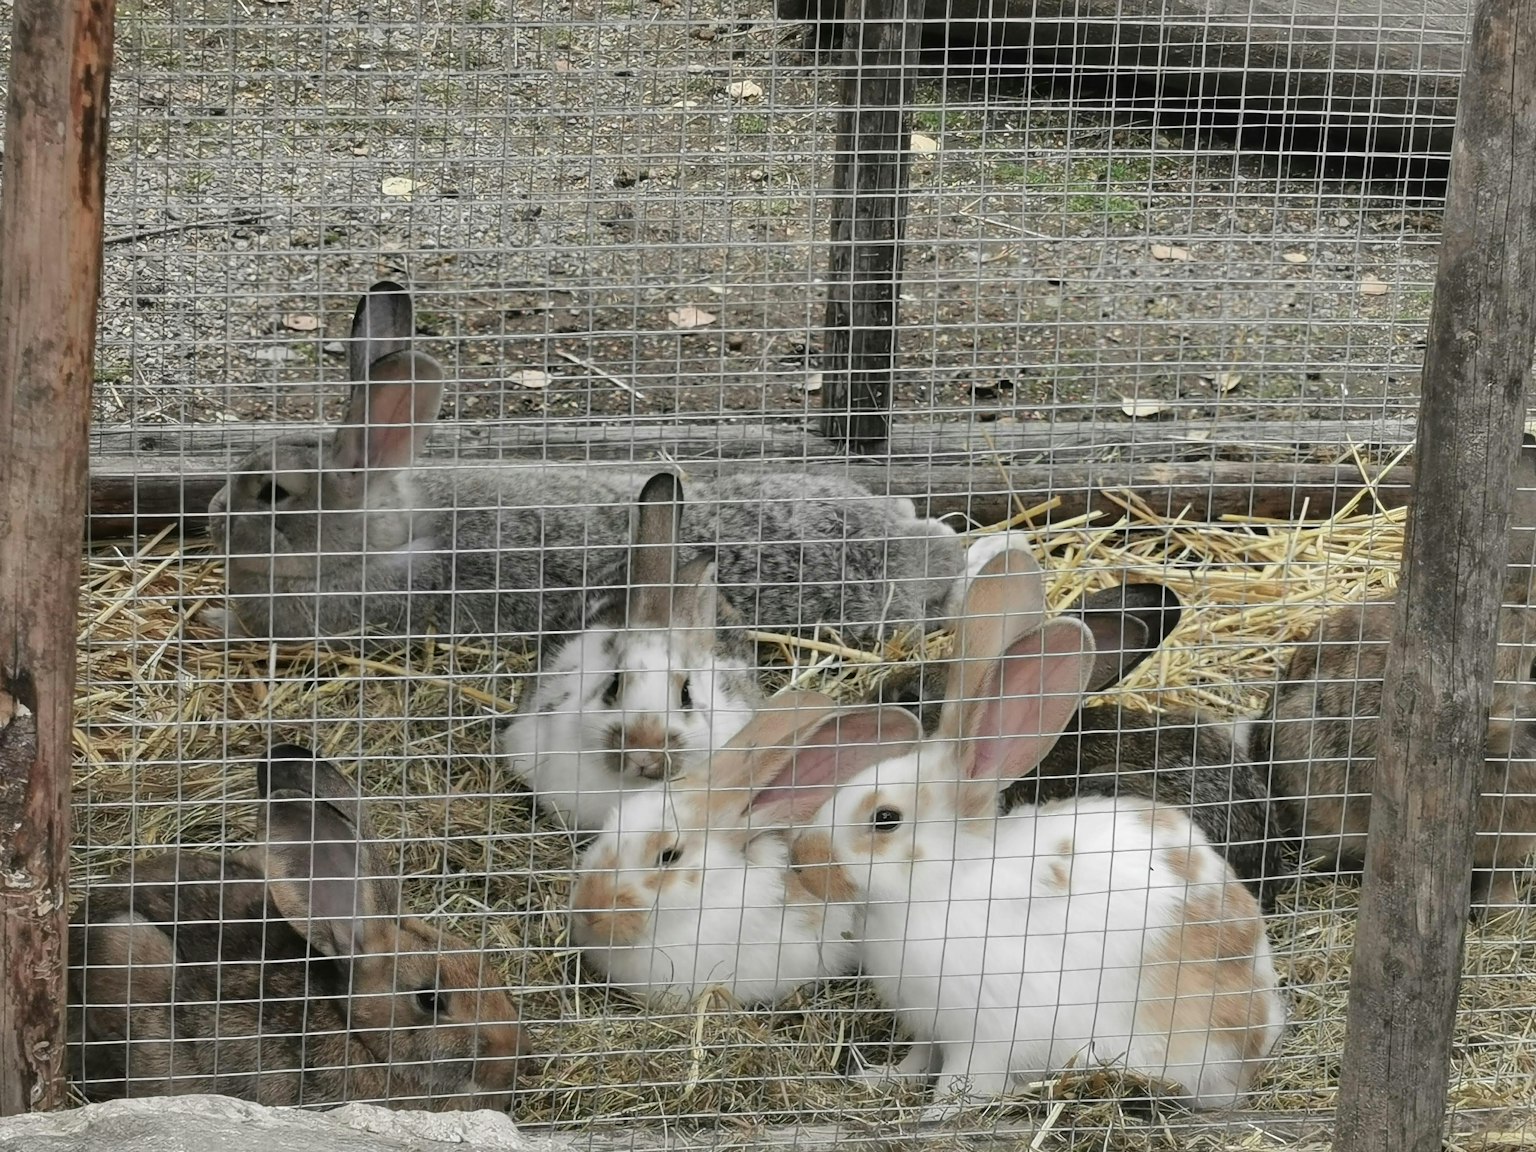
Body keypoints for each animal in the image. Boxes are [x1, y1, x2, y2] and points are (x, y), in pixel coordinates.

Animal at [778, 546, 1286, 1115]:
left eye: (884, 819)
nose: (801, 859)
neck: (939, 887)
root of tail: (1261, 1033)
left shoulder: (986, 1034)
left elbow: (963, 1080)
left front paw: (936, 1114)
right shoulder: (930, 1026)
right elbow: (919, 1059)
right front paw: (881, 1079)